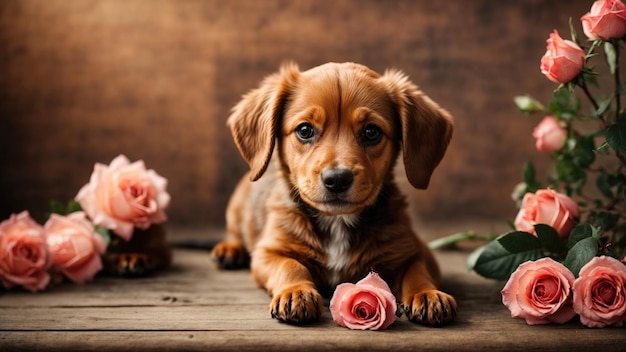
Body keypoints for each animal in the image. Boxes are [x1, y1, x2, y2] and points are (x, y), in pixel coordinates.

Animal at [210, 62, 454, 326]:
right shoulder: (268, 252)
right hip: (236, 209)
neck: (338, 222)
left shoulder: (416, 251)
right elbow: (290, 265)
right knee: (236, 234)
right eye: (305, 130)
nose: (337, 179)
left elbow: (417, 271)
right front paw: (296, 292)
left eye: (371, 132)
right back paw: (229, 250)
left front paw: (428, 294)